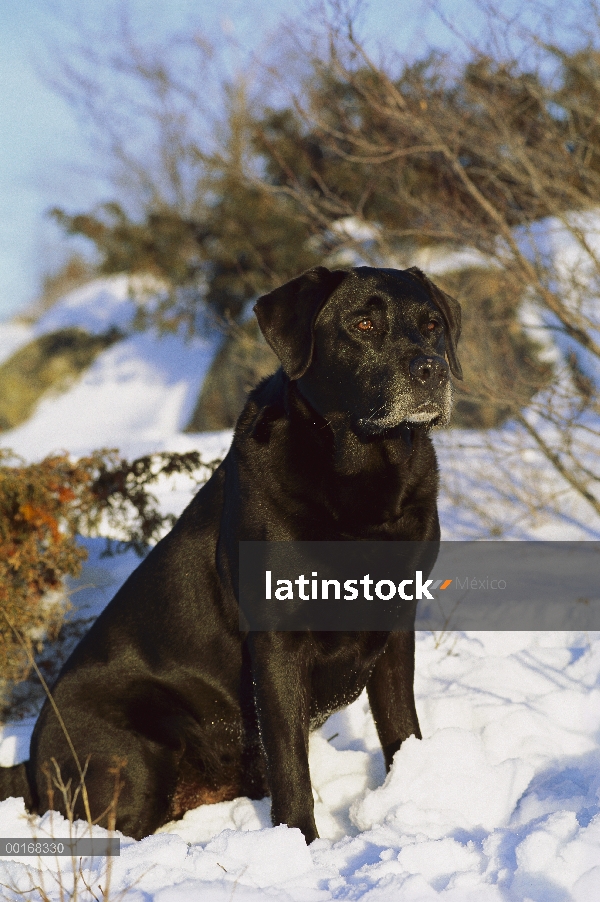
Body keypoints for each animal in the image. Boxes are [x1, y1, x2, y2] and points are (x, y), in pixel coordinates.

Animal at [0, 264, 462, 844]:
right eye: (364, 324)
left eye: (432, 326)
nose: (432, 370)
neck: (364, 480)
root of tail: (30, 764)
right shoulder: (278, 642)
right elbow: (290, 764)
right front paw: (300, 845)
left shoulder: (396, 622)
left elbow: (401, 729)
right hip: (141, 751)